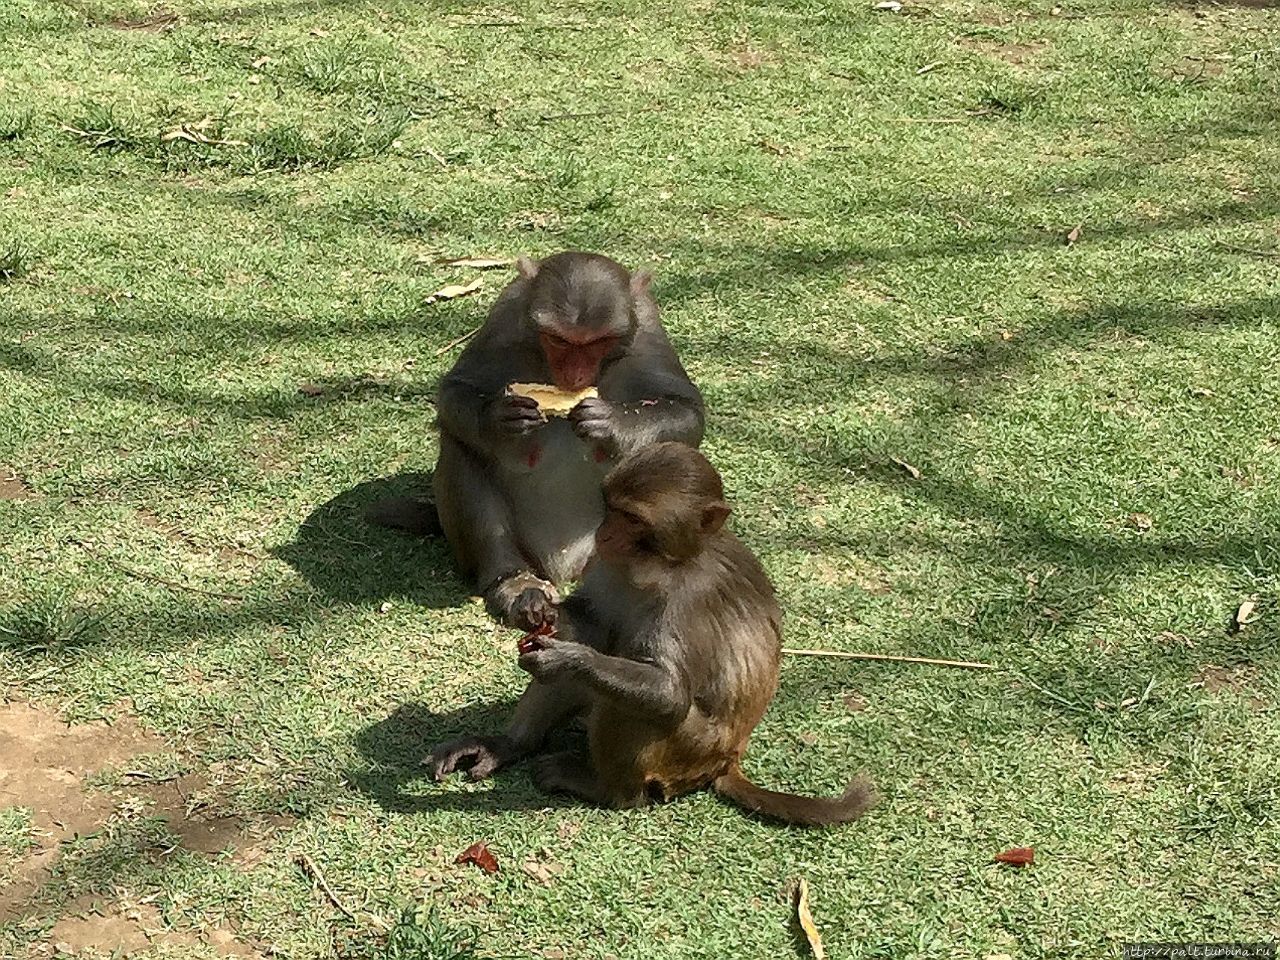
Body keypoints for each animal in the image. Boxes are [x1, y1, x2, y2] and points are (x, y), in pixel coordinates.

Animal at [373, 252, 706, 632]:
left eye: (596, 343)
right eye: (559, 340)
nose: (575, 376)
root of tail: (562, 566)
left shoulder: (648, 330)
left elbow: (688, 413)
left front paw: (612, 423)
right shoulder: (505, 316)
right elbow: (456, 390)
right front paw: (500, 420)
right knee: (460, 445)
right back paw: (514, 582)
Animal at [427, 442, 870, 829]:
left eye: (633, 519)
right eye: (610, 509)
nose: (603, 534)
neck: (662, 565)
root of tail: (729, 758)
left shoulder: (690, 601)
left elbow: (669, 694)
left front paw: (567, 658)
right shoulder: (606, 563)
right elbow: (593, 624)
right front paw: (533, 606)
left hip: (689, 753)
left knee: (628, 705)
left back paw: (606, 790)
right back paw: (510, 745)